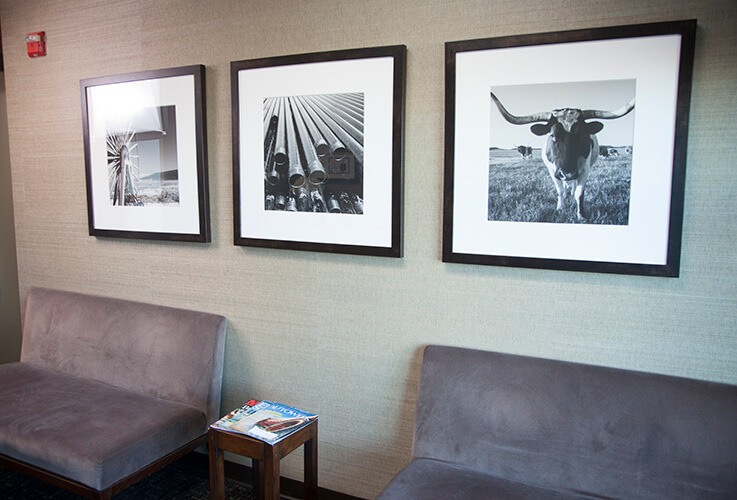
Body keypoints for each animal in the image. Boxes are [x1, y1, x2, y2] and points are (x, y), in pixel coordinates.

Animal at [488, 91, 632, 220]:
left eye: (581, 134)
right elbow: (560, 191)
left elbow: (579, 193)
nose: (567, 173)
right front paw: (560, 208)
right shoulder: (553, 171)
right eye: (552, 135)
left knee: (573, 185)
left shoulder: (585, 169)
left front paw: (581, 215)